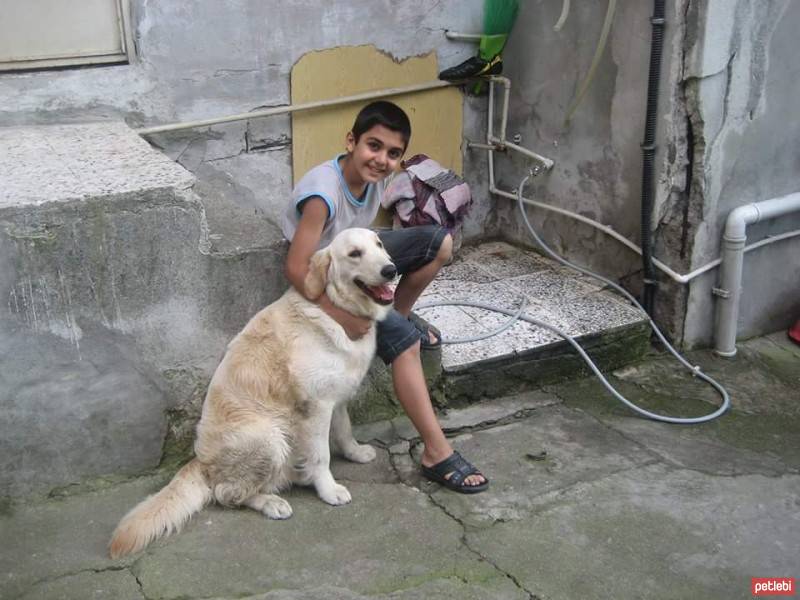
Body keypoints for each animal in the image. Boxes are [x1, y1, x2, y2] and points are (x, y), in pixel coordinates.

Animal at [109, 229, 396, 556]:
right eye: (354, 254)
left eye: (379, 245)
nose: (391, 270)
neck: (333, 308)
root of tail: (201, 462)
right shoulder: (316, 406)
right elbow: (321, 455)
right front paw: (329, 490)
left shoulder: (335, 398)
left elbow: (345, 430)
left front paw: (356, 452)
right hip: (267, 437)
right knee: (228, 493)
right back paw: (272, 502)